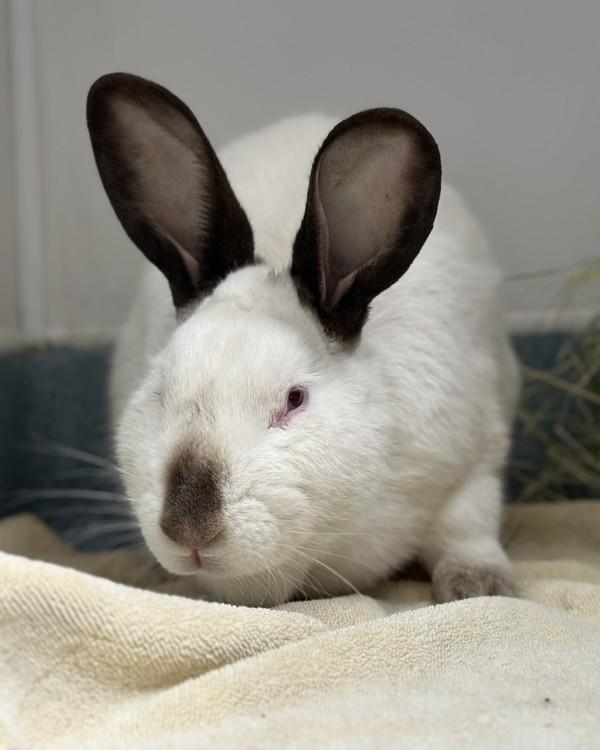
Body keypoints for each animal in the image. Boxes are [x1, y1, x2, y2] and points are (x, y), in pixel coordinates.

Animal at [87, 72, 520, 607]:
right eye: (160, 392)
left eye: (295, 399)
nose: (188, 529)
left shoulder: (475, 458)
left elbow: (466, 526)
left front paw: (480, 585)